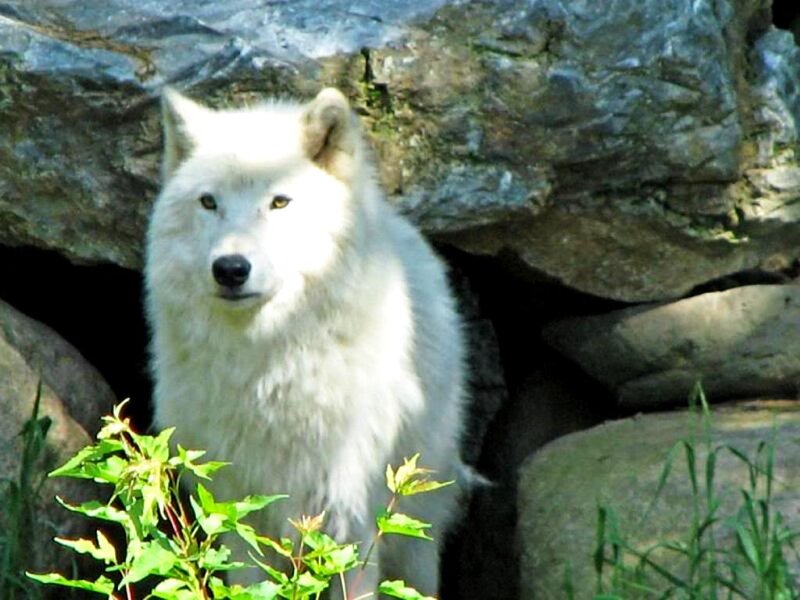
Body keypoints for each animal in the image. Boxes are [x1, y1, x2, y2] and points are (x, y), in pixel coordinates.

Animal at [144, 86, 469, 597]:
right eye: (209, 202)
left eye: (280, 202)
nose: (230, 269)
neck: (267, 370)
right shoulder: (235, 510)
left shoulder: (349, 515)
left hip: (415, 531)